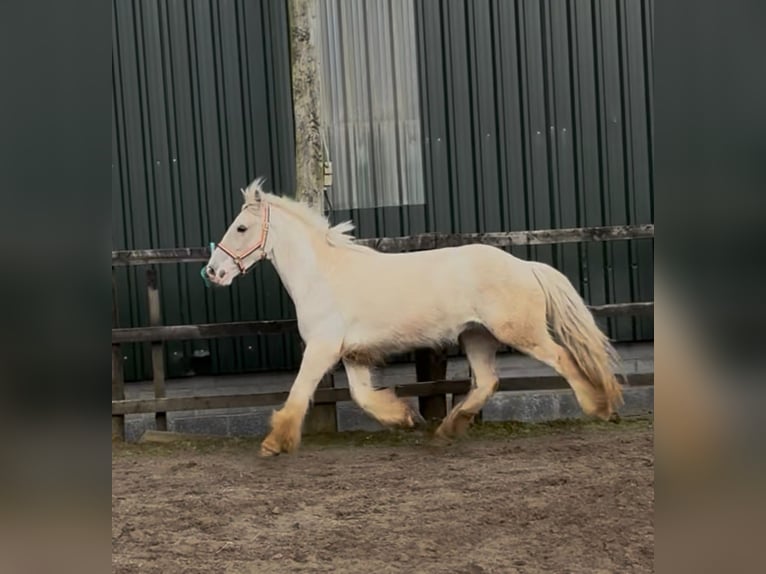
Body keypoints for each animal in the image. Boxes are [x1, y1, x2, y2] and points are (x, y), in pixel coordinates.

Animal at [204, 178, 624, 456]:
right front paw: (405, 418)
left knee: (563, 358)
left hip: (521, 332)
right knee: (488, 381)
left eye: (241, 227)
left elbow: (299, 391)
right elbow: (361, 396)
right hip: (476, 336)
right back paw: (447, 430)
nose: (213, 272)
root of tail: (526, 266)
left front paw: (273, 443)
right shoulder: (352, 354)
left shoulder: (322, 348)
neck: (324, 275)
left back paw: (599, 409)